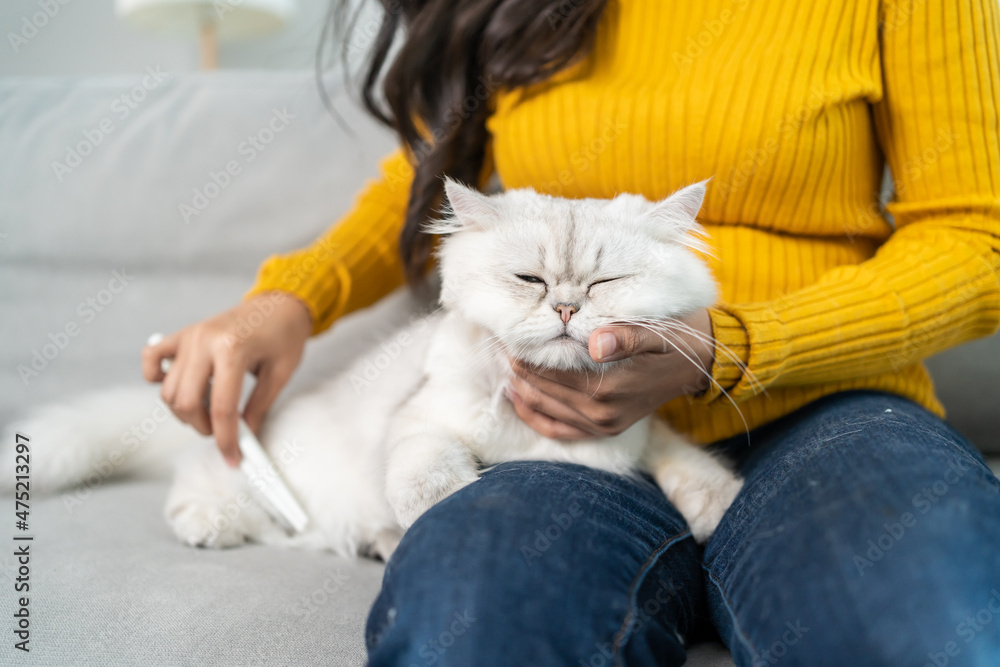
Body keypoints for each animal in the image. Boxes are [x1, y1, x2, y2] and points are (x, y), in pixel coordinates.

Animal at [3, 180, 744, 560]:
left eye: (603, 284)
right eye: (530, 281)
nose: (566, 308)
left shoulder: (637, 434)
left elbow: (680, 457)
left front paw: (716, 506)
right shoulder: (421, 419)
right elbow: (425, 466)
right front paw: (441, 504)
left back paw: (380, 544)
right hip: (267, 472)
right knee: (206, 478)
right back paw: (212, 522)